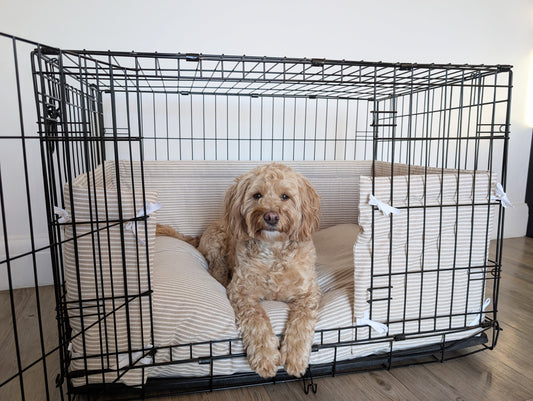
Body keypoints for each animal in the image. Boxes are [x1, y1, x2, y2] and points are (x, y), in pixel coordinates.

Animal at [155, 162, 320, 378]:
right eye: (257, 195)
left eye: (285, 196)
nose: (271, 216)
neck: (274, 252)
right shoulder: (242, 291)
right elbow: (257, 320)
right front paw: (266, 357)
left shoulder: (309, 293)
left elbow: (301, 321)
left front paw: (295, 357)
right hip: (217, 243)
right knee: (216, 270)